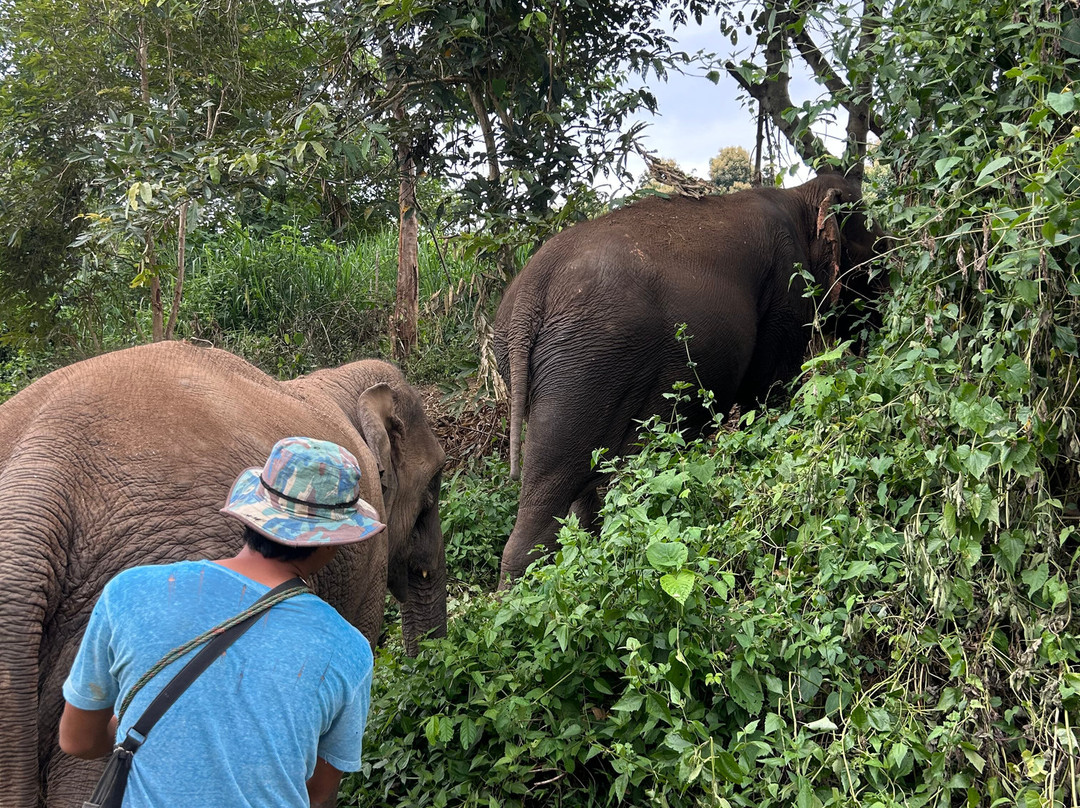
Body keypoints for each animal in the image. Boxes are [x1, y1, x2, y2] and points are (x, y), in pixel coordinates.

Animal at [494, 172, 884, 585]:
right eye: (877, 254)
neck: (800, 194)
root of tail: (528, 300)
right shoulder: (786, 286)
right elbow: (768, 391)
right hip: (583, 366)